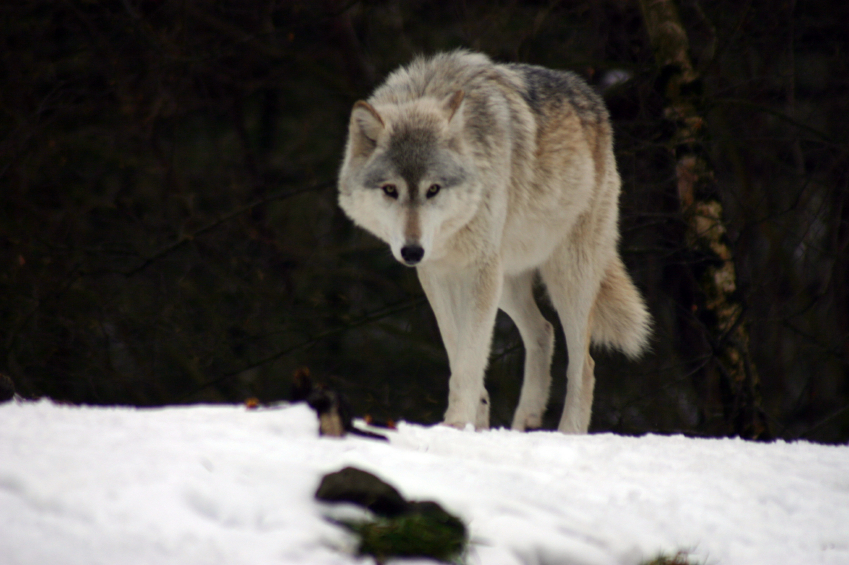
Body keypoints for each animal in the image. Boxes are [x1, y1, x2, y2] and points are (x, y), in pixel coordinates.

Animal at [336, 51, 648, 432]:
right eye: (390, 190)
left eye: (433, 189)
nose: (412, 251)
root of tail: (590, 95)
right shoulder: (437, 275)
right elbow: (459, 353)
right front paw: (475, 420)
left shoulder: (478, 273)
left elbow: (469, 360)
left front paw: (457, 424)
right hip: (507, 283)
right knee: (543, 331)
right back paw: (526, 419)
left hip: (566, 277)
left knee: (584, 366)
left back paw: (568, 432)